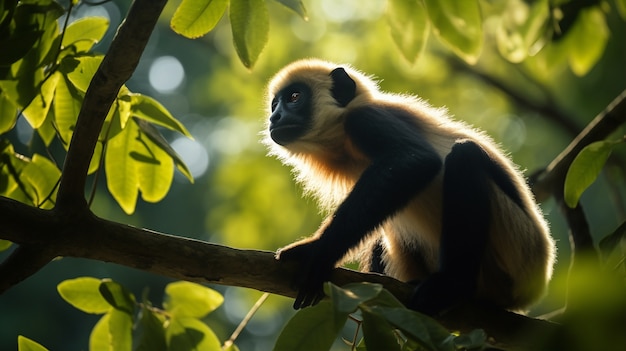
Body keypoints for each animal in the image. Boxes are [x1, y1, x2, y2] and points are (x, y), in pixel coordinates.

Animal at [260, 59, 552, 314]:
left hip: (519, 252)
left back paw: (452, 285)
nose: (275, 117)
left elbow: (414, 160)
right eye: (275, 105)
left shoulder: (365, 120)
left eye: (294, 97)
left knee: (464, 156)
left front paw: (317, 253)